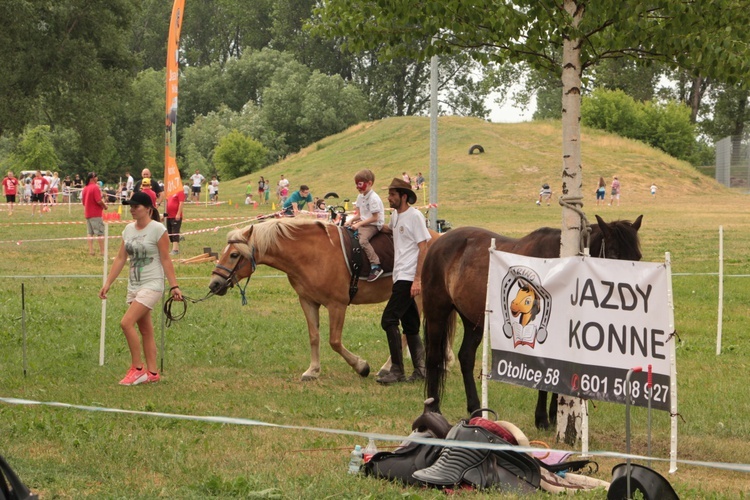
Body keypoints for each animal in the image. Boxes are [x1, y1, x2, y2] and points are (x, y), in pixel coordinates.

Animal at [206, 218, 440, 378]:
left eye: (234, 254)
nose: (214, 284)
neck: (312, 254)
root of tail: (437, 238)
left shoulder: (337, 305)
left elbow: (334, 341)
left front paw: (361, 366)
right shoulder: (308, 302)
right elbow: (314, 337)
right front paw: (313, 370)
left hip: (416, 298)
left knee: (406, 334)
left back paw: (387, 367)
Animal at [426, 213, 644, 428]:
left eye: (638, 257)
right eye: (614, 255)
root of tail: (438, 242)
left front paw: (555, 415)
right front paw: (542, 418)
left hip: (473, 321)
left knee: (466, 357)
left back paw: (475, 409)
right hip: (437, 313)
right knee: (433, 358)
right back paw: (433, 408)